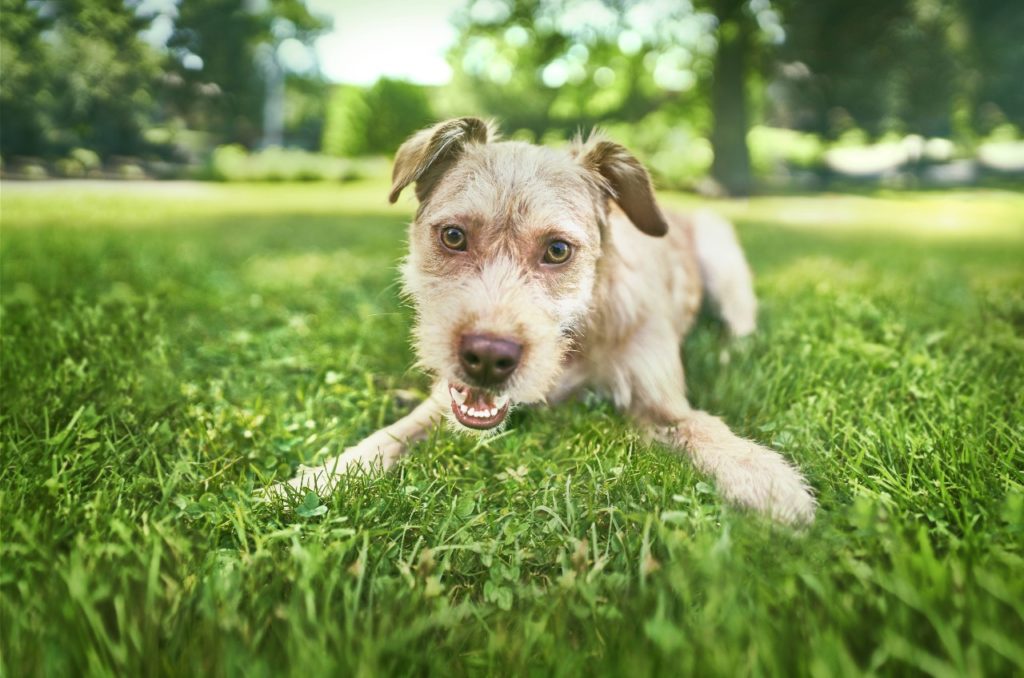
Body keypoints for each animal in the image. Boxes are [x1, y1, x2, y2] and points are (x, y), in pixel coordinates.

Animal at [272, 116, 815, 524]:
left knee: (739, 329)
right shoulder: (443, 405)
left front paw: (766, 478)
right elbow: (390, 437)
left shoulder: (661, 401)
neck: (576, 343)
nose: (487, 358)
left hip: (723, 260)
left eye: (557, 250)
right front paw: (316, 478)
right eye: (453, 236)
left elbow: (703, 430)